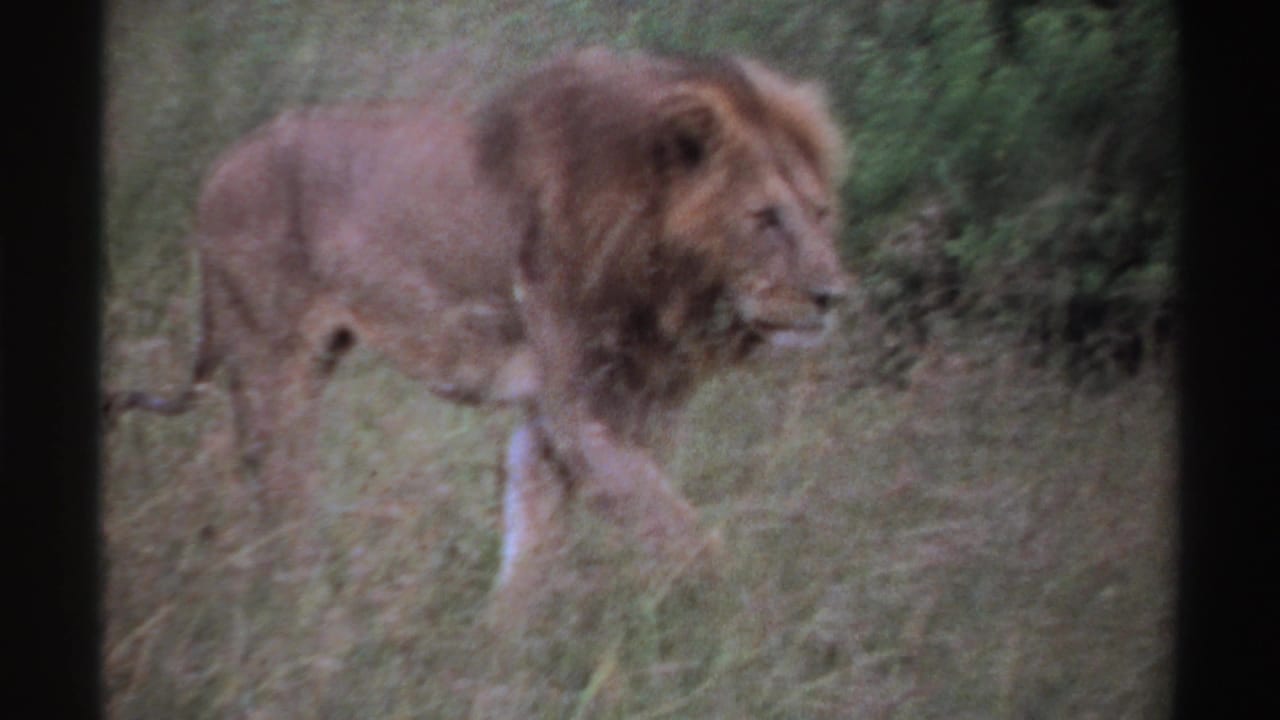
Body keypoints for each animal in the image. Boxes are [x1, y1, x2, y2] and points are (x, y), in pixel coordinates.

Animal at [107, 47, 850, 595]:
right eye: (765, 218)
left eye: (819, 213)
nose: (835, 296)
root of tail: (219, 168)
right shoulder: (584, 411)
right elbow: (689, 538)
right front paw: (754, 623)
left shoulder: (559, 417)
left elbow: (532, 545)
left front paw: (505, 653)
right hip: (271, 362)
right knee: (275, 489)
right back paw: (300, 604)